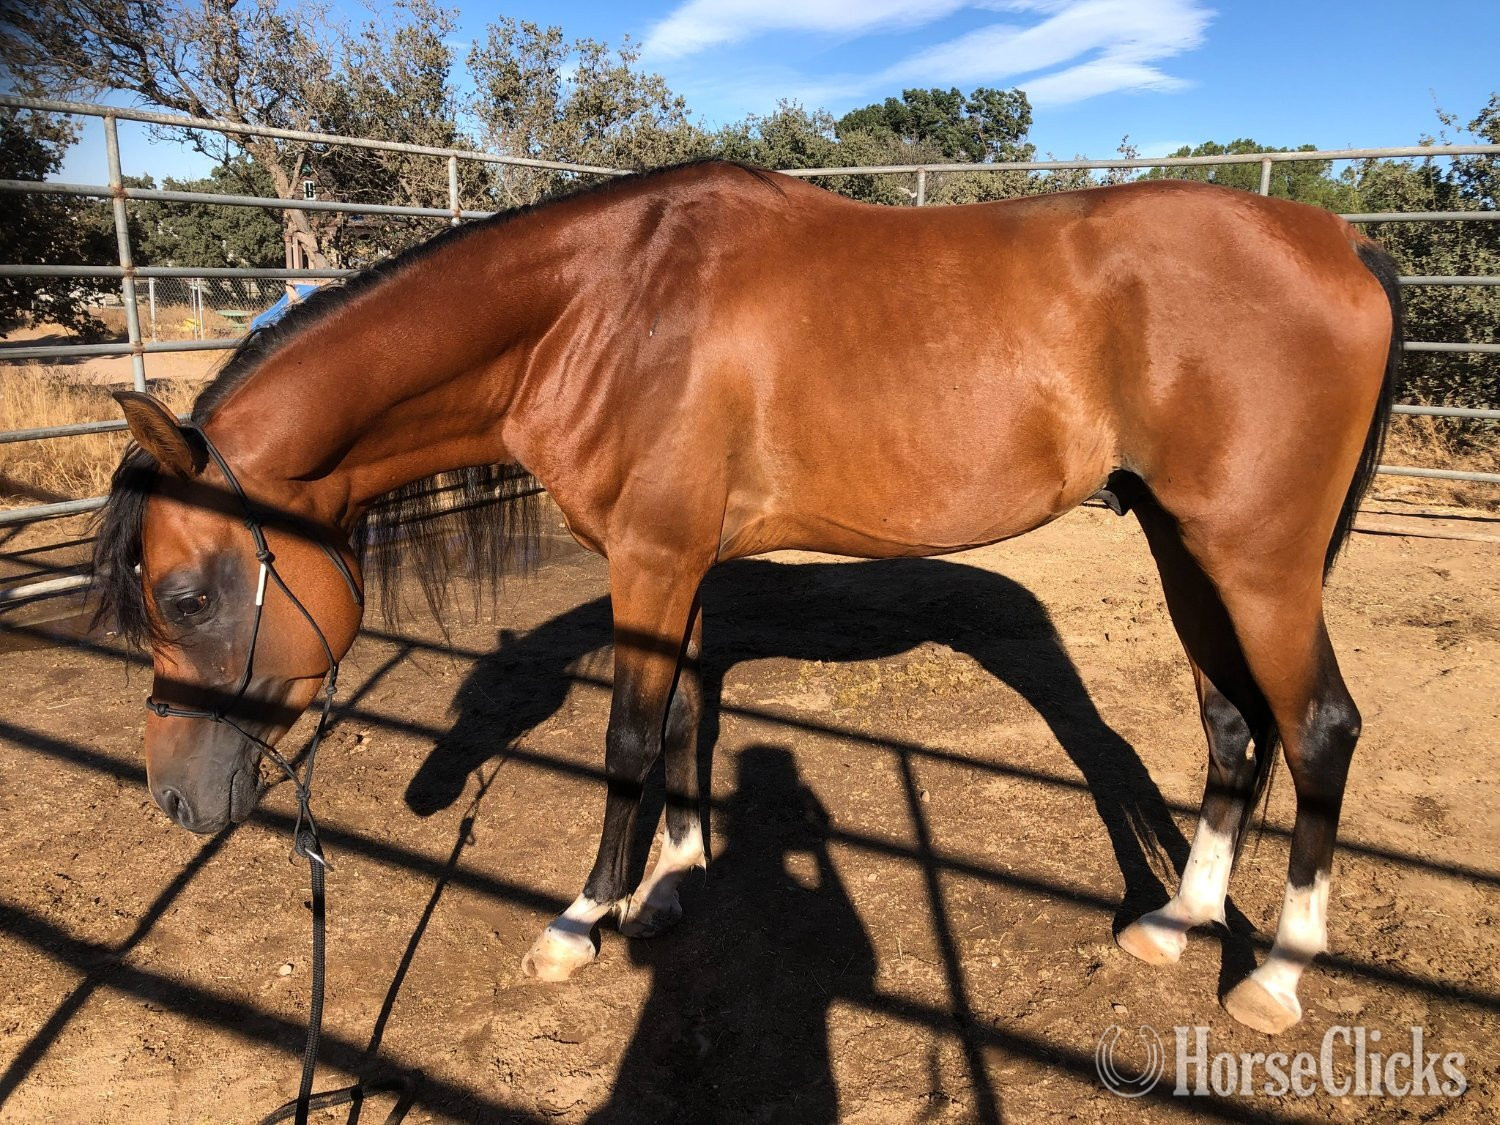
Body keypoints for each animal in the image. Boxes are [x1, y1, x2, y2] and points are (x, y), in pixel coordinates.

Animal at [94, 159, 1401, 1036]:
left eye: (184, 597)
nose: (171, 798)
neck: (603, 312)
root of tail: (1340, 244)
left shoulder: (653, 560)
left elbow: (628, 735)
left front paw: (584, 920)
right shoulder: (674, 566)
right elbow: (683, 717)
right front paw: (672, 884)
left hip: (1259, 559)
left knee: (1319, 727)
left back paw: (1276, 973)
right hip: (1186, 544)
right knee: (1231, 723)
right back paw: (1176, 925)